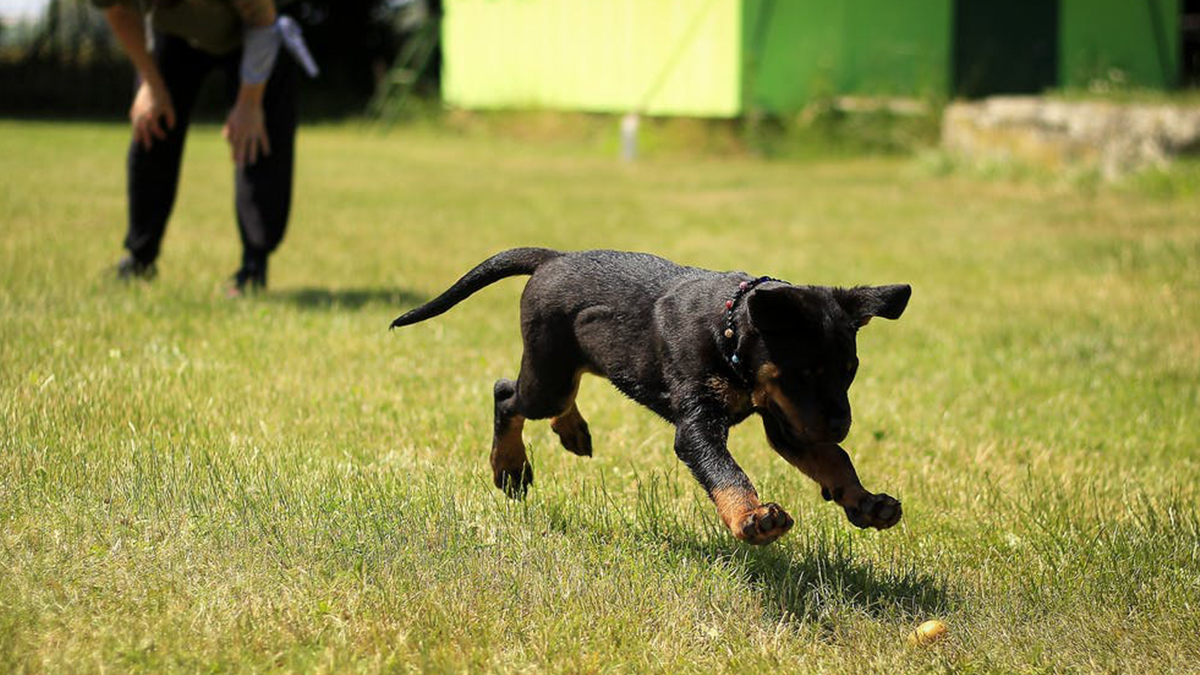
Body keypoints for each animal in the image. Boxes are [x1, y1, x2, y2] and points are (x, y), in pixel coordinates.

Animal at [393, 247, 907, 540]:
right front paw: (752, 518)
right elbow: (726, 472)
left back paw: (572, 431)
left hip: (571, 364)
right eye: (804, 373)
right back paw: (510, 468)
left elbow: (834, 460)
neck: (728, 330)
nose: (841, 425)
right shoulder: (700, 425)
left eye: (849, 372)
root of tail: (552, 258)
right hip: (548, 375)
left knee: (559, 394)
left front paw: (865, 502)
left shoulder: (789, 422)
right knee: (506, 395)